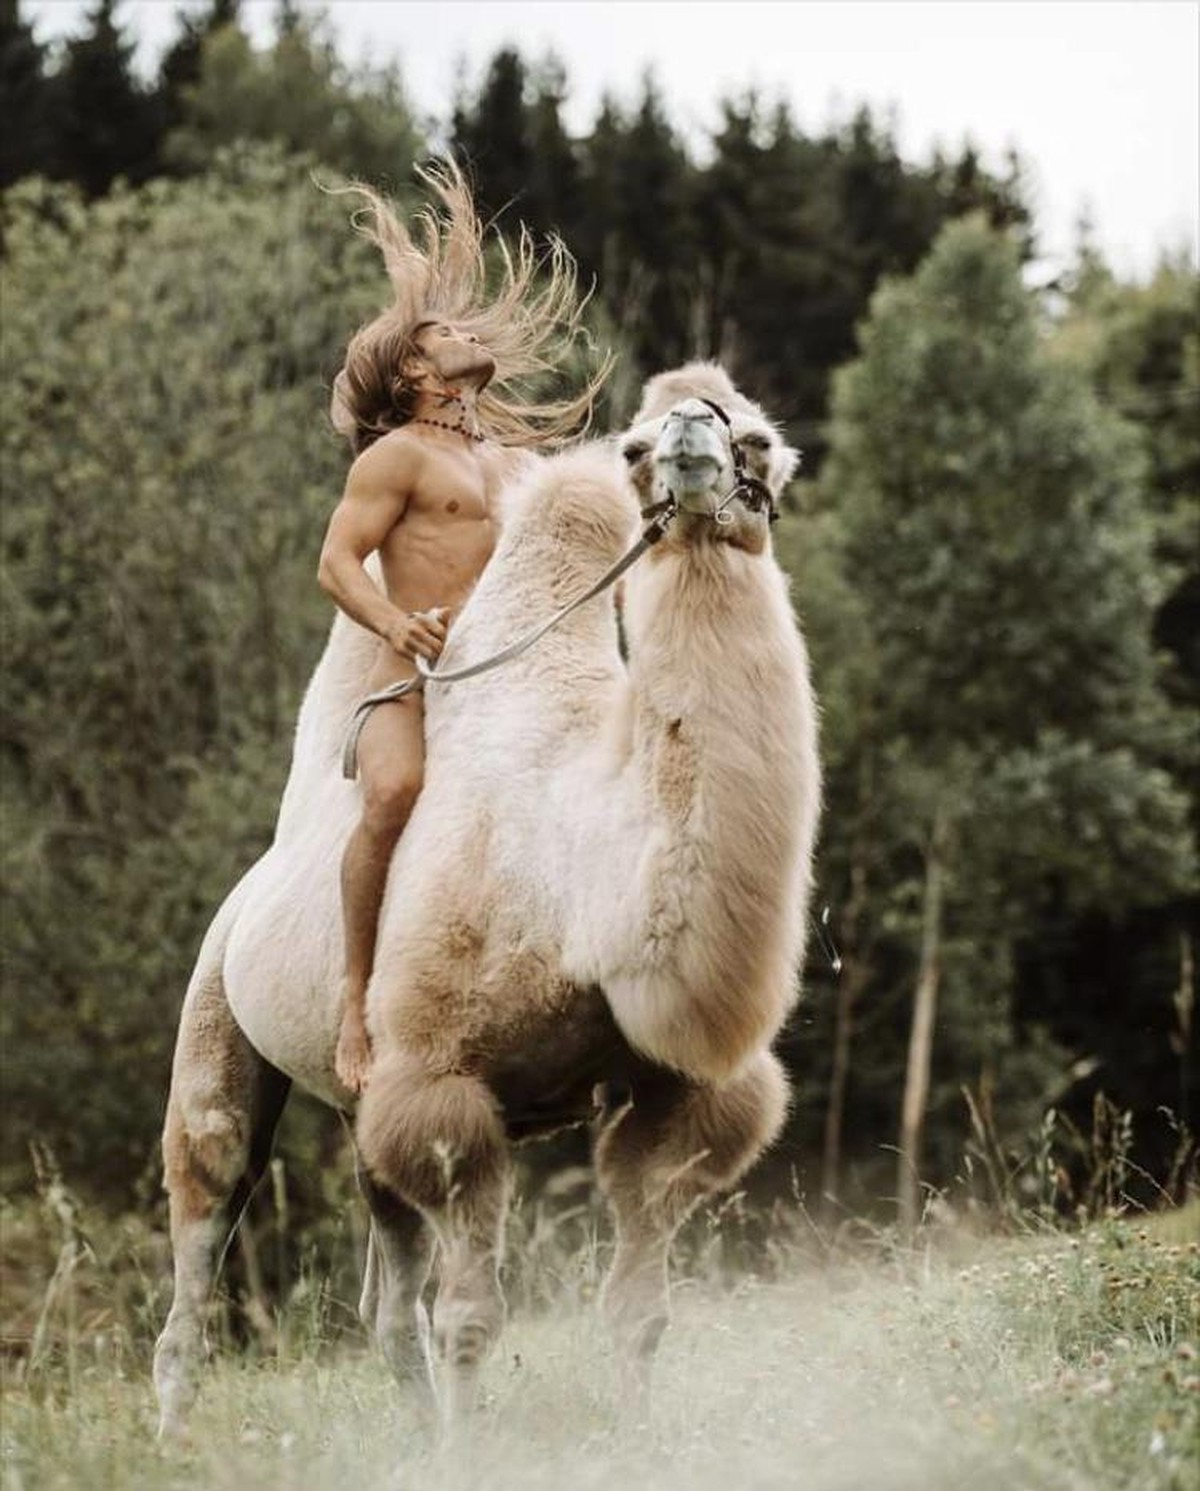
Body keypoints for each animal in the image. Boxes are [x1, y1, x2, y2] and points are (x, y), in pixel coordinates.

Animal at [153, 362, 821, 1436]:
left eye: (757, 439)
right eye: (634, 447)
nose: (691, 434)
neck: (577, 875)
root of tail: (252, 888)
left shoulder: (676, 1095)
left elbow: (639, 1307)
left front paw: (636, 1440)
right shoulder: (443, 1081)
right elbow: (469, 1317)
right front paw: (476, 1454)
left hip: (361, 1104)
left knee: (385, 1305)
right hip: (217, 1018)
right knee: (204, 1219)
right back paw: (178, 1436)